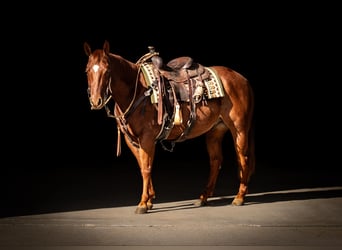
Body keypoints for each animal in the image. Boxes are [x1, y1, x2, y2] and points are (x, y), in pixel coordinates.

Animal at [83, 40, 254, 213]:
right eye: (87, 70)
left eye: (107, 70)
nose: (96, 101)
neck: (137, 91)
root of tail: (242, 79)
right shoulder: (131, 140)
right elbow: (143, 166)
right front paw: (149, 200)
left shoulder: (147, 139)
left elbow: (146, 168)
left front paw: (143, 203)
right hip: (215, 131)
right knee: (216, 161)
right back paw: (203, 198)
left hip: (239, 129)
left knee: (243, 158)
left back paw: (239, 197)